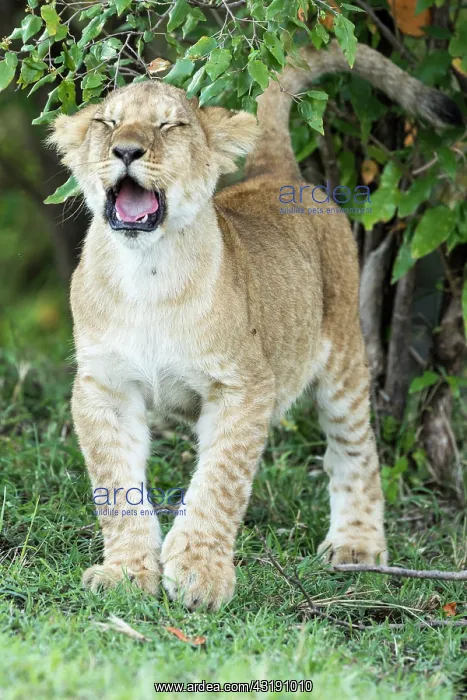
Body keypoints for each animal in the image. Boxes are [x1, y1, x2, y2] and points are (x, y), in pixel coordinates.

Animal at [49, 40, 462, 609]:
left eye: (171, 125)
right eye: (107, 122)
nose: (126, 151)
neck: (146, 273)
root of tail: (277, 174)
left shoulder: (244, 386)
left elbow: (219, 481)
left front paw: (199, 574)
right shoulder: (103, 388)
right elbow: (115, 486)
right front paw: (126, 574)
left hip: (344, 358)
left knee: (354, 451)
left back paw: (356, 545)